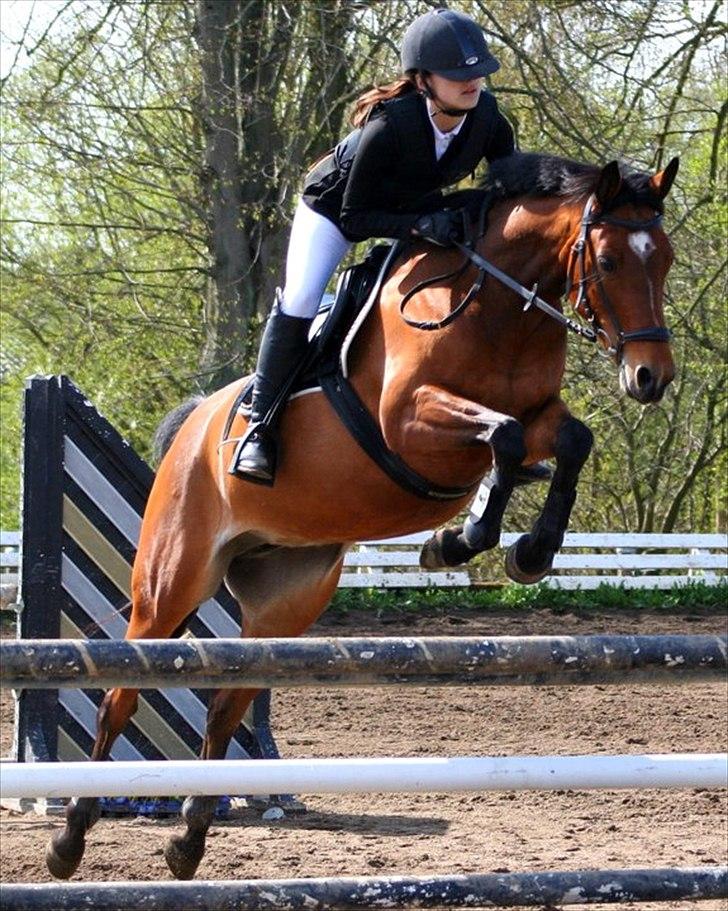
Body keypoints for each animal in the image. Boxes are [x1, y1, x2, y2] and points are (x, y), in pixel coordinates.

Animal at [46, 151, 678, 881]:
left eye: (664, 258)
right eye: (607, 259)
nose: (651, 377)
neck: (497, 314)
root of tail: (197, 423)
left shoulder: (537, 414)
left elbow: (567, 439)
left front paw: (523, 551)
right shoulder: (408, 421)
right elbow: (506, 435)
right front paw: (462, 540)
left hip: (283, 601)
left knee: (226, 706)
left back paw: (189, 840)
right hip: (169, 582)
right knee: (120, 694)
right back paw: (70, 838)